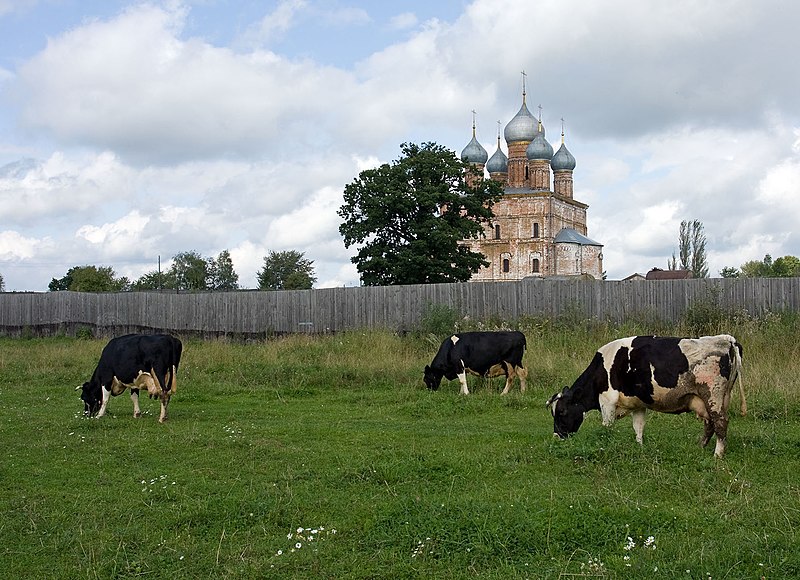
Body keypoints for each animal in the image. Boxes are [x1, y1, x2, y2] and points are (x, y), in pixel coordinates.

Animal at [544, 336, 744, 458]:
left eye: (562, 412)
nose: (556, 436)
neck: (601, 370)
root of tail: (727, 339)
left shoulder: (607, 402)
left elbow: (606, 427)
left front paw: (605, 444)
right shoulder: (638, 404)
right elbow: (638, 427)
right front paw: (639, 447)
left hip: (713, 395)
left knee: (720, 422)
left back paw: (717, 454)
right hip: (713, 399)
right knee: (709, 423)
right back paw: (700, 446)